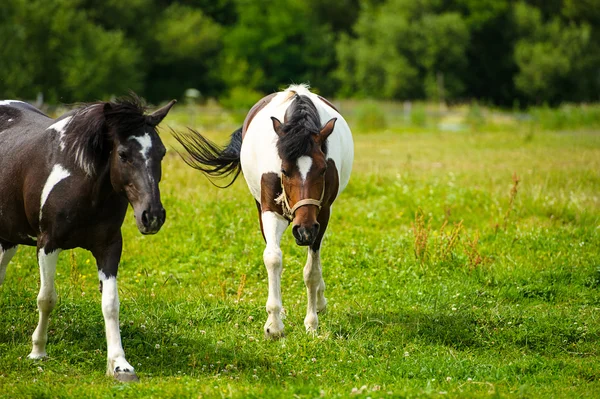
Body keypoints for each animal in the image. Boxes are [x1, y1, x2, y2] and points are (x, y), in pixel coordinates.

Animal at [0, 95, 176, 382]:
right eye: (123, 155)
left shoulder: (109, 247)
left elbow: (111, 304)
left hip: (8, 238)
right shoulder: (47, 244)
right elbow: (46, 298)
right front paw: (38, 351)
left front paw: (119, 365)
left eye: (161, 152)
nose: (152, 216)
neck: (82, 183)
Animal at [173, 84, 352, 340]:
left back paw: (319, 302)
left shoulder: (322, 215)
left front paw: (311, 323)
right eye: (284, 170)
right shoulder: (269, 211)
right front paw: (274, 324)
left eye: (323, 169)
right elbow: (273, 258)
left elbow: (312, 271)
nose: (304, 230)